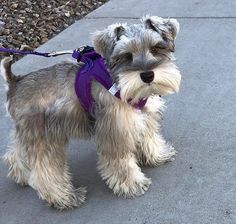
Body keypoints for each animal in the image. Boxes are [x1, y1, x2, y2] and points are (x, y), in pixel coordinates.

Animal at [0, 16, 182, 210]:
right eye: (126, 56)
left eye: (156, 48)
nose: (147, 75)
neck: (116, 81)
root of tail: (15, 82)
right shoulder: (115, 132)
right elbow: (121, 162)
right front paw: (132, 183)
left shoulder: (144, 118)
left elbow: (150, 138)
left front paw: (158, 155)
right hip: (45, 139)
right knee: (45, 173)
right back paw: (64, 197)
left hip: (28, 135)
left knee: (16, 154)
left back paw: (21, 175)